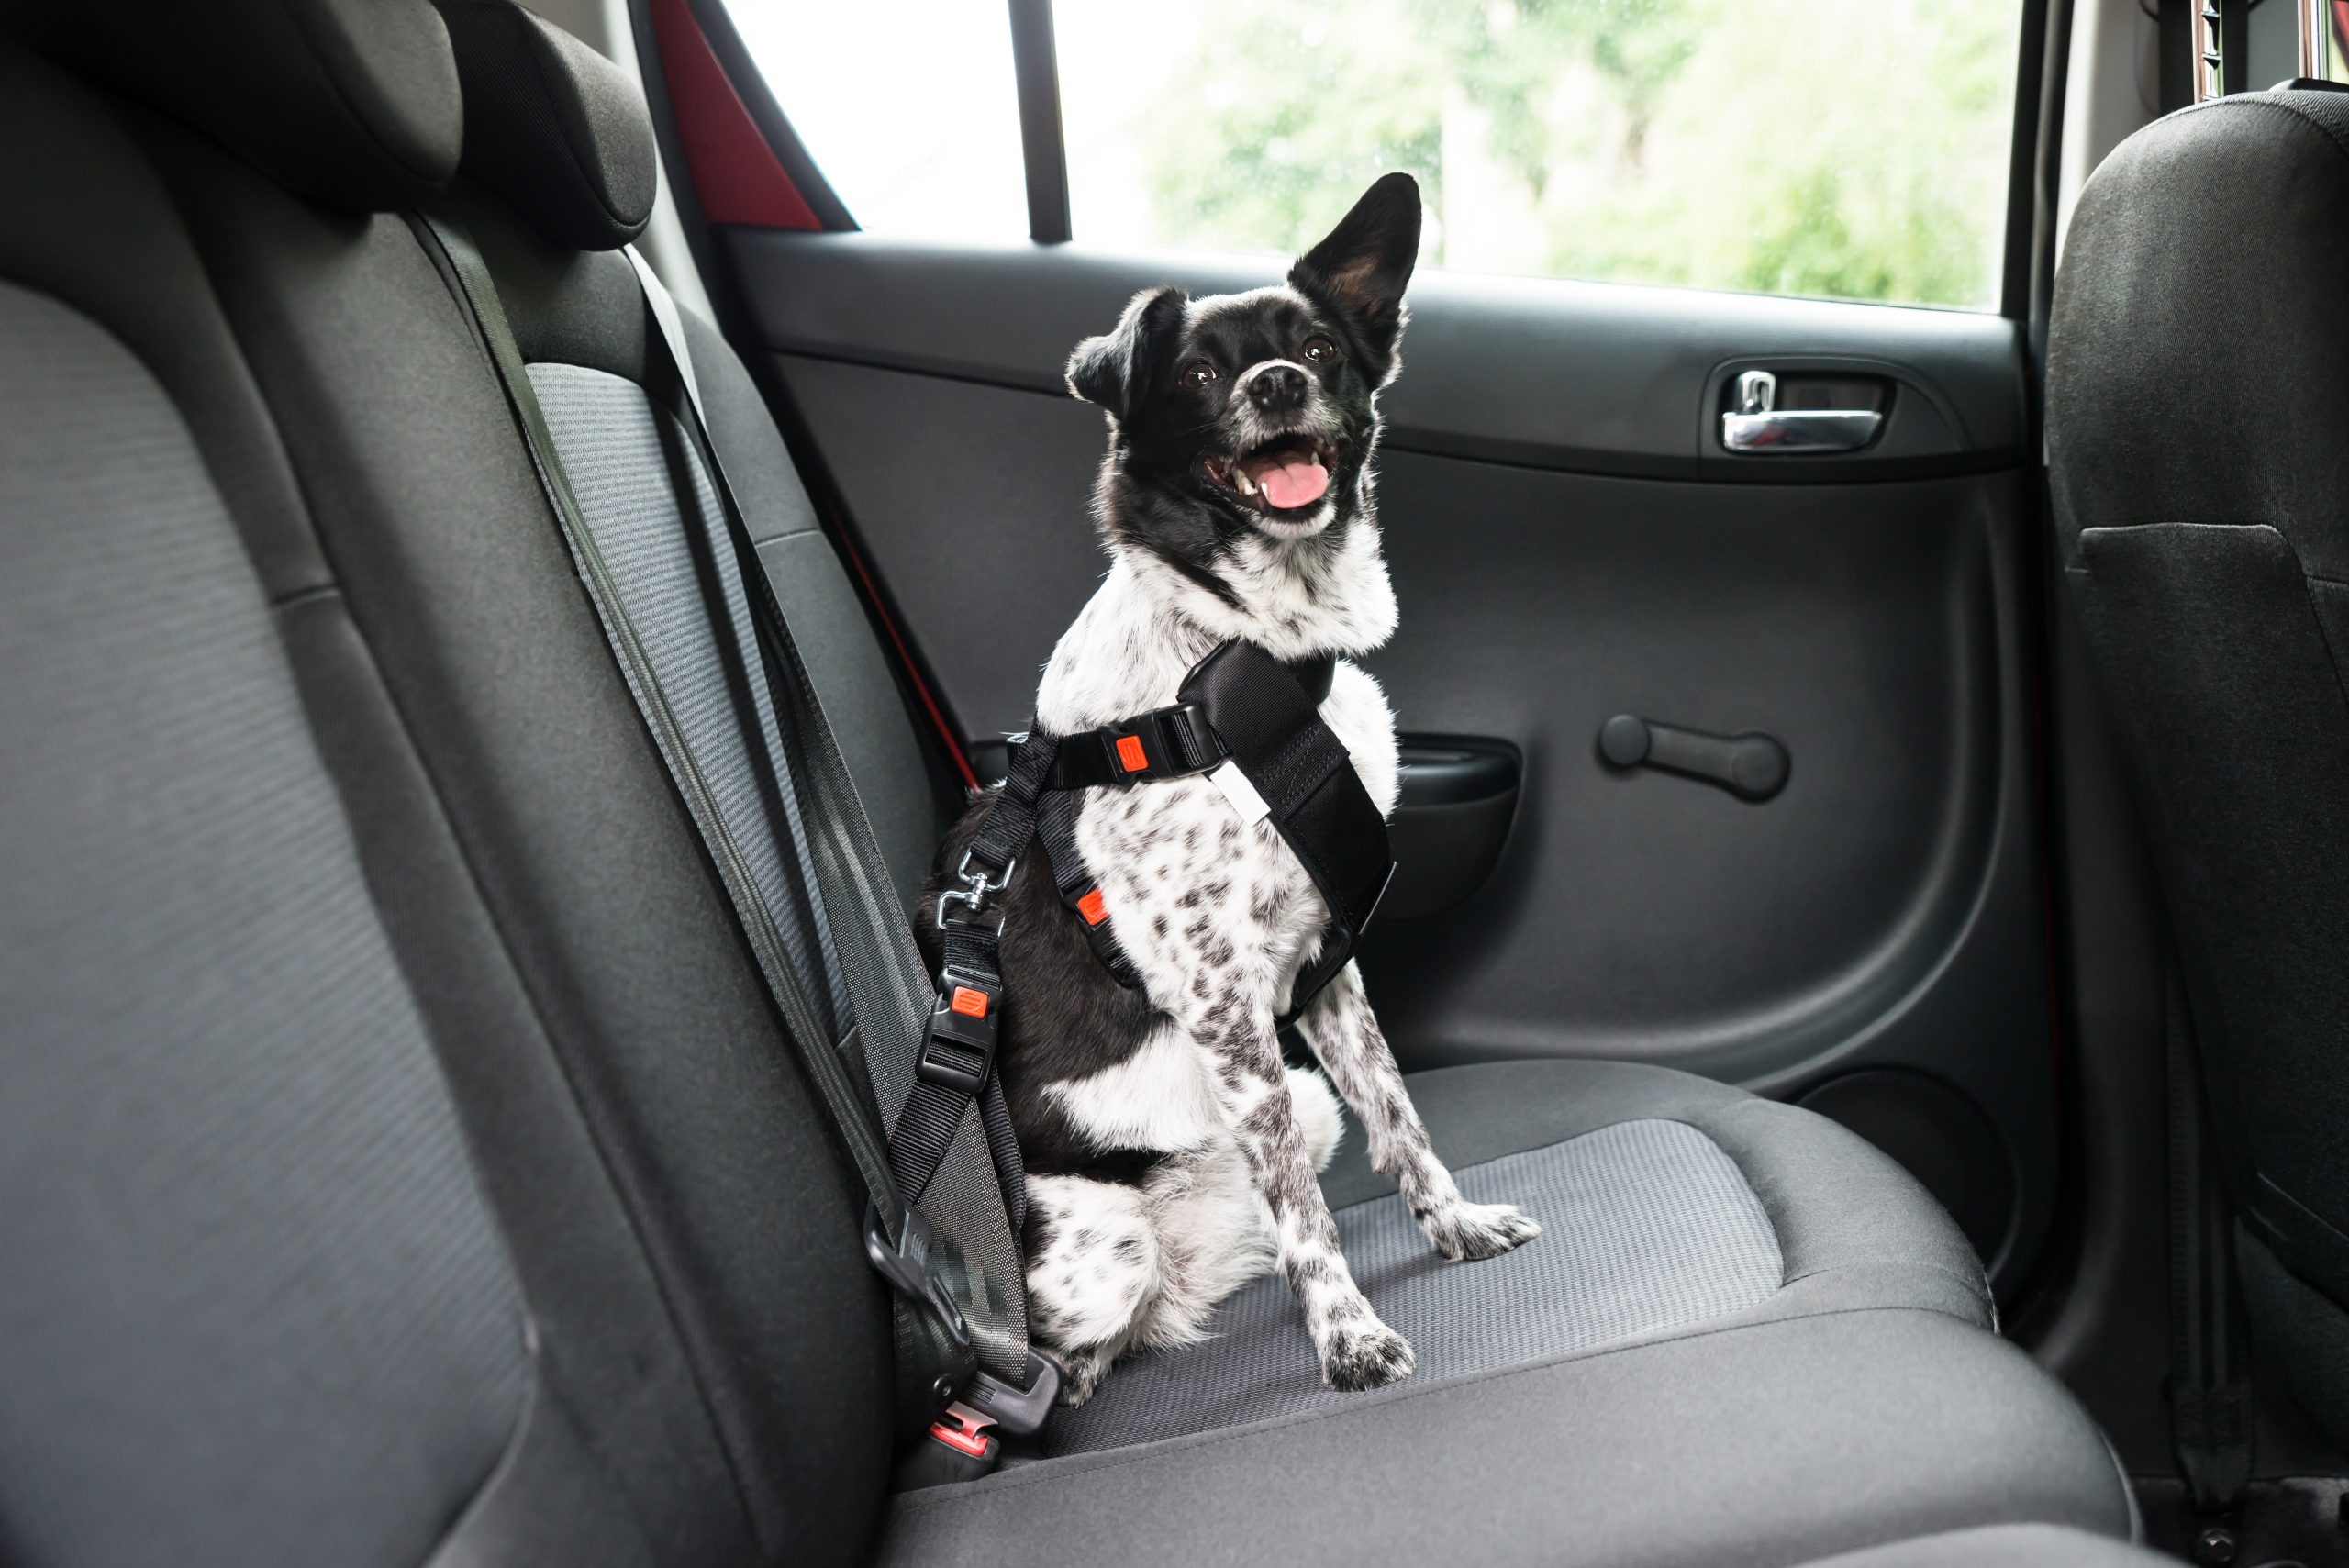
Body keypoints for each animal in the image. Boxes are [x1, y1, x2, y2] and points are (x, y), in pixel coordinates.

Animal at [916, 174, 1541, 1408]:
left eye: (1319, 347)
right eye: (1199, 375)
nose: (1278, 383)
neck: (1242, 653)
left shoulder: (1325, 963)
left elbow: (1399, 1113)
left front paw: (1452, 1227)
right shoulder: (1222, 999)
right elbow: (1305, 1210)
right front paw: (1346, 1336)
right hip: (1108, 1243)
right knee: (1086, 1337)